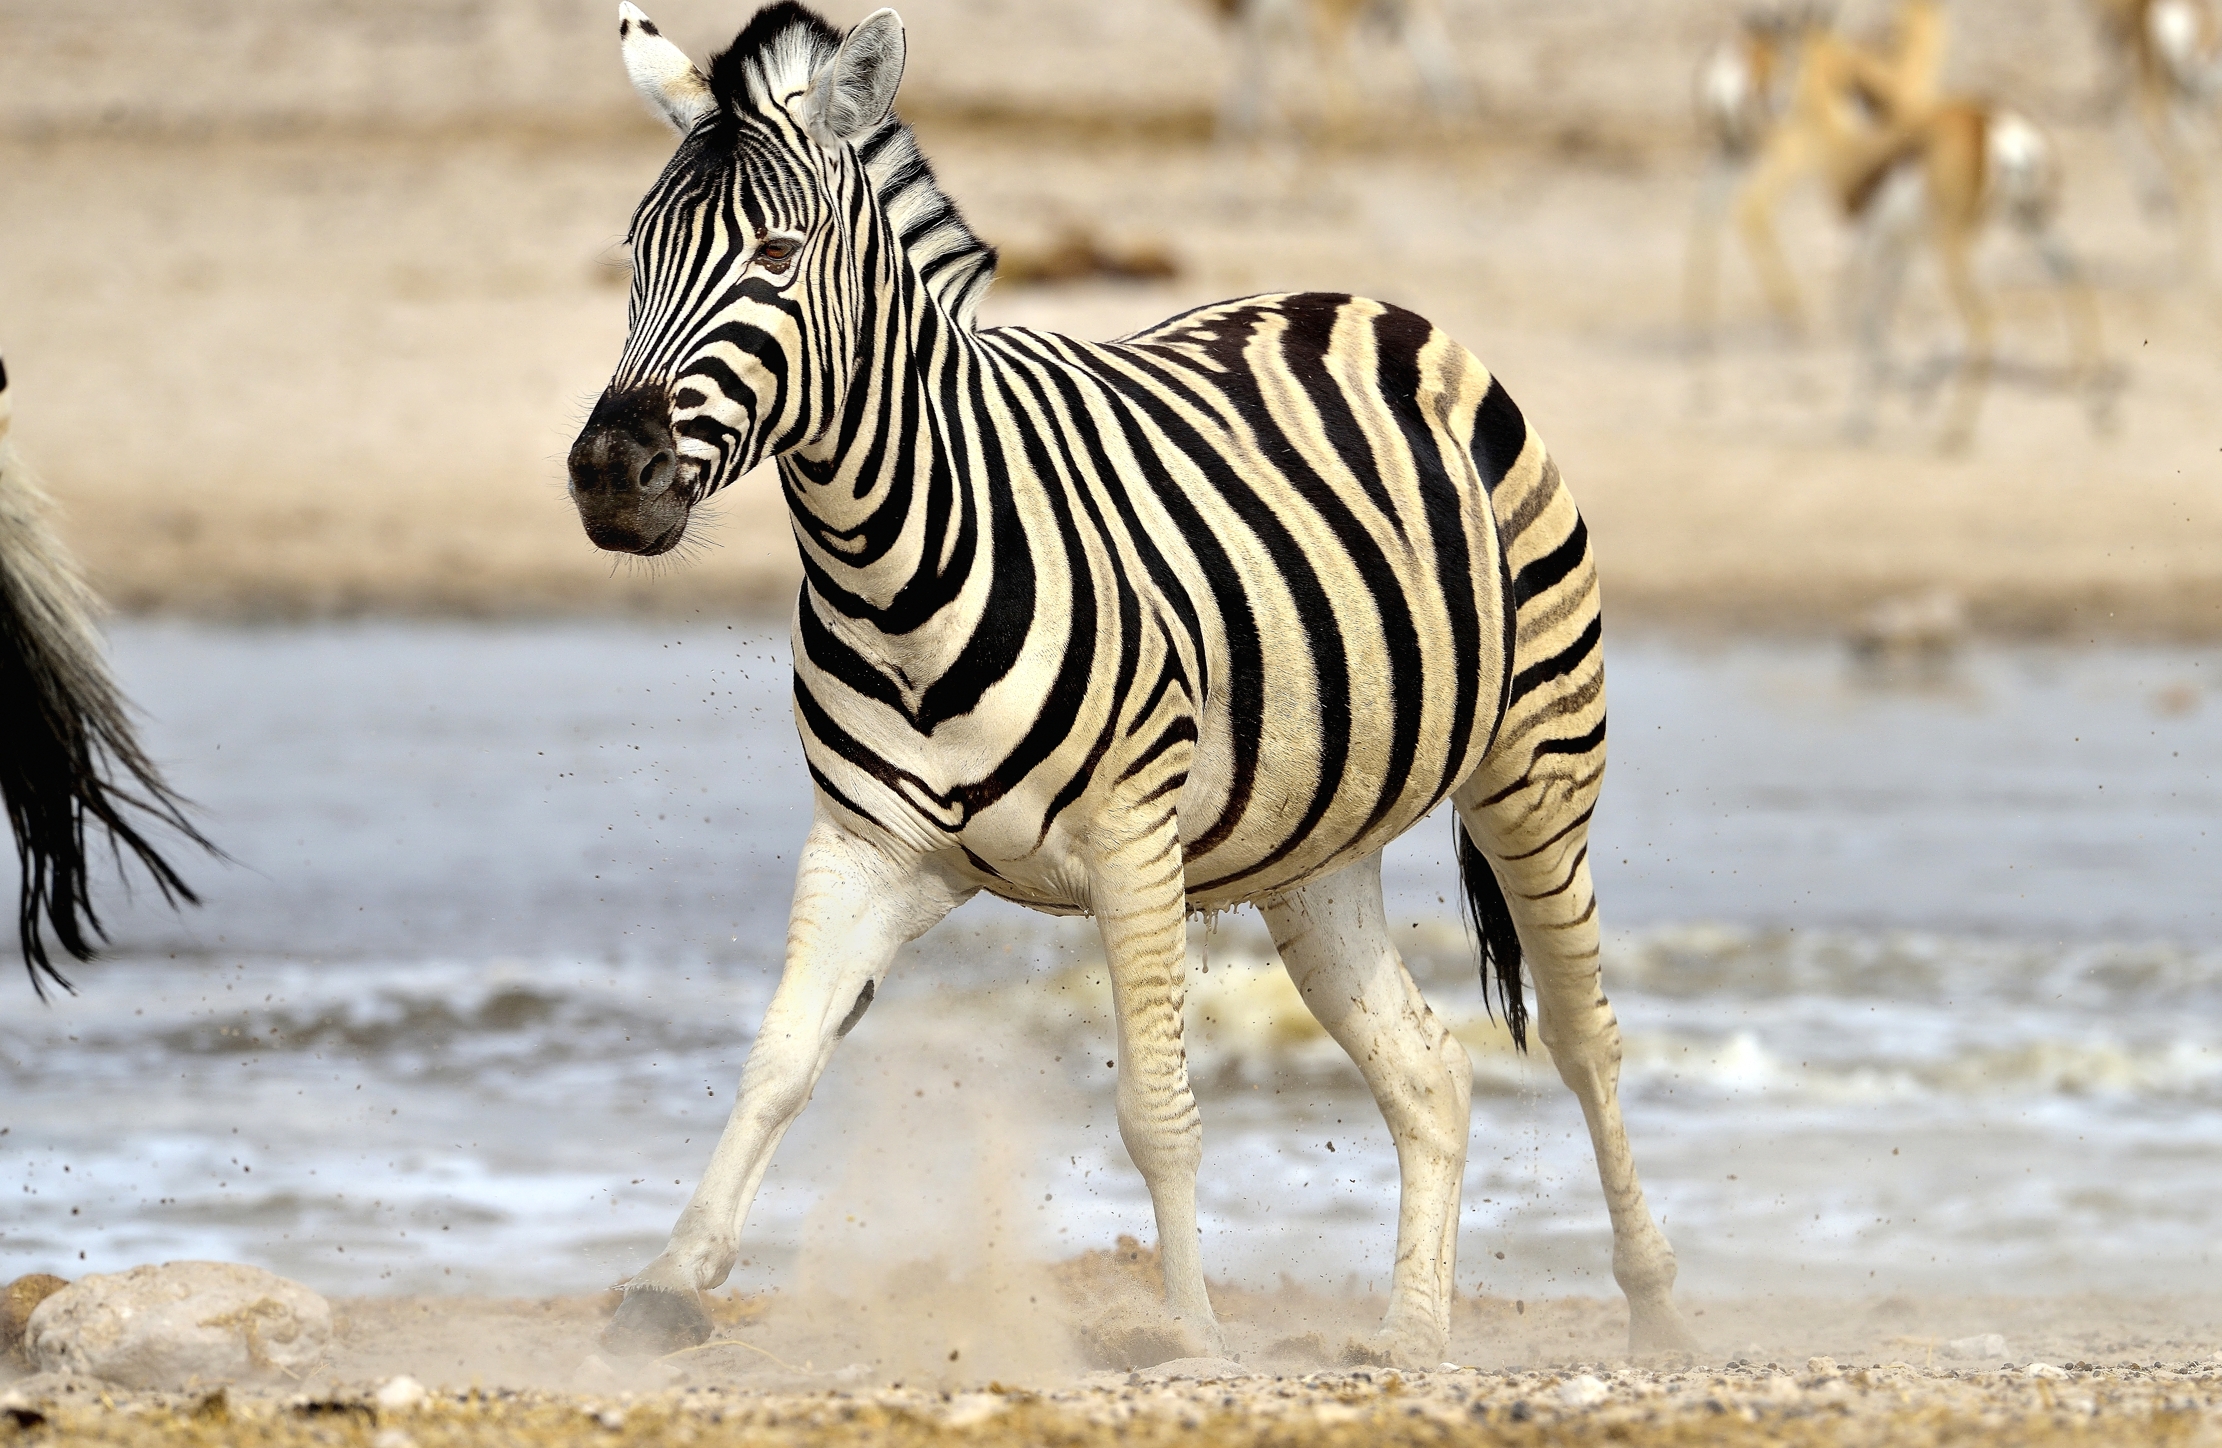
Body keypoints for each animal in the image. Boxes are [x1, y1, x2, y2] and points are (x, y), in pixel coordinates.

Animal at [570, 1, 1696, 1367]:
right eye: (634, 252)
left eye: (778, 255)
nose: (607, 474)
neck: (890, 561)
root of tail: (1369, 305)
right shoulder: (867, 846)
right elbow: (777, 1061)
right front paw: (669, 1279)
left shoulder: (1131, 839)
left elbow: (1157, 1110)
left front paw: (1191, 1333)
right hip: (1314, 851)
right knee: (1430, 1070)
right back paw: (1410, 1337)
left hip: (1536, 763)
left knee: (1585, 1039)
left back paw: (1654, 1306)